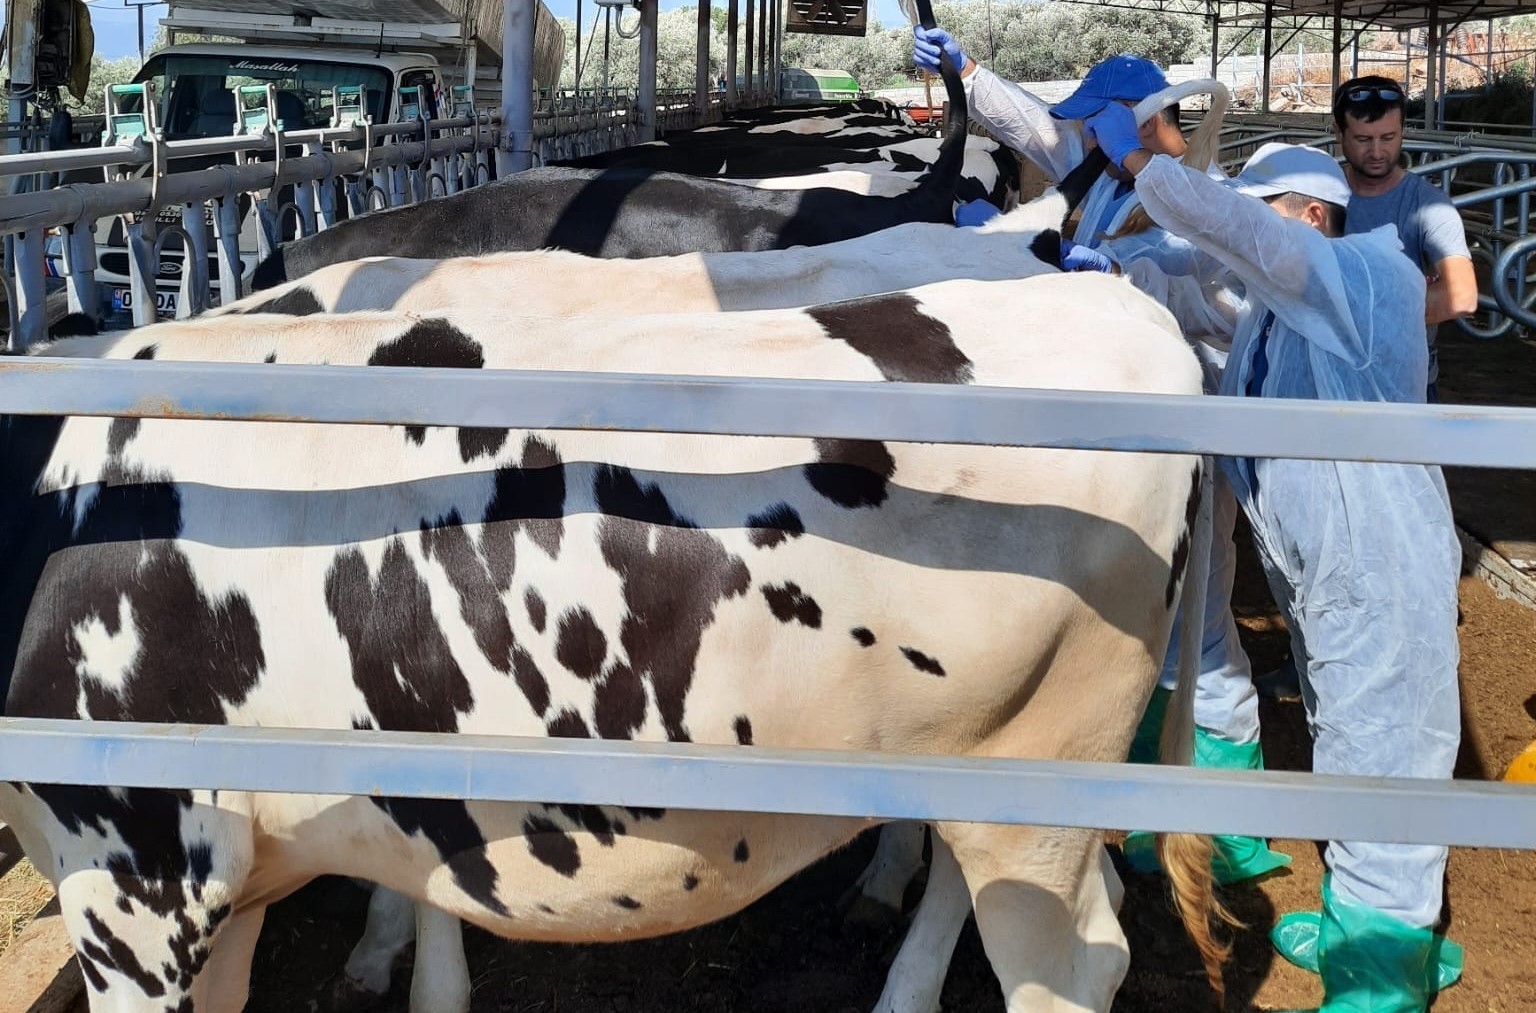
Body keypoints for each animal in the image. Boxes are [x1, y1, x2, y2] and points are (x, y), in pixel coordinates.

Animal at [0, 268, 1222, 1013]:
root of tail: (1111, 294)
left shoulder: (137, 877)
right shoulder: (229, 879)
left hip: (1044, 786)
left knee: (1073, 962)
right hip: (981, 762)